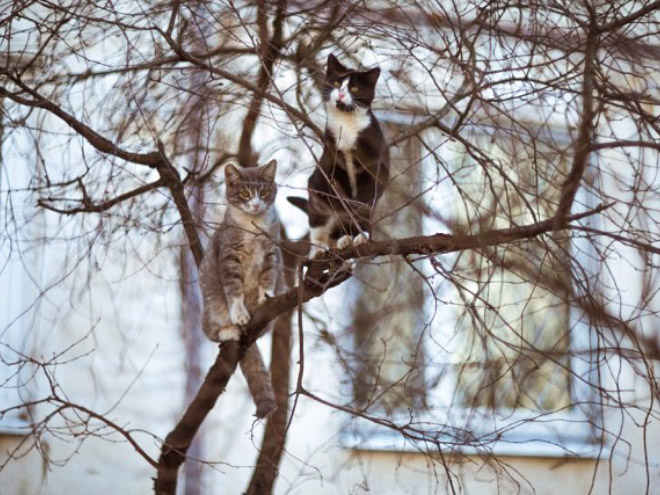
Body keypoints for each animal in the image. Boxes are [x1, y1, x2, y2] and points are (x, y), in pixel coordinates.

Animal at [201, 159, 284, 418]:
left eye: (264, 192)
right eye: (245, 193)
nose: (256, 204)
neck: (253, 228)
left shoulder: (272, 253)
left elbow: (267, 279)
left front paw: (264, 297)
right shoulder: (229, 257)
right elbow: (233, 289)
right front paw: (239, 314)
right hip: (211, 302)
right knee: (208, 328)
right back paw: (228, 330)